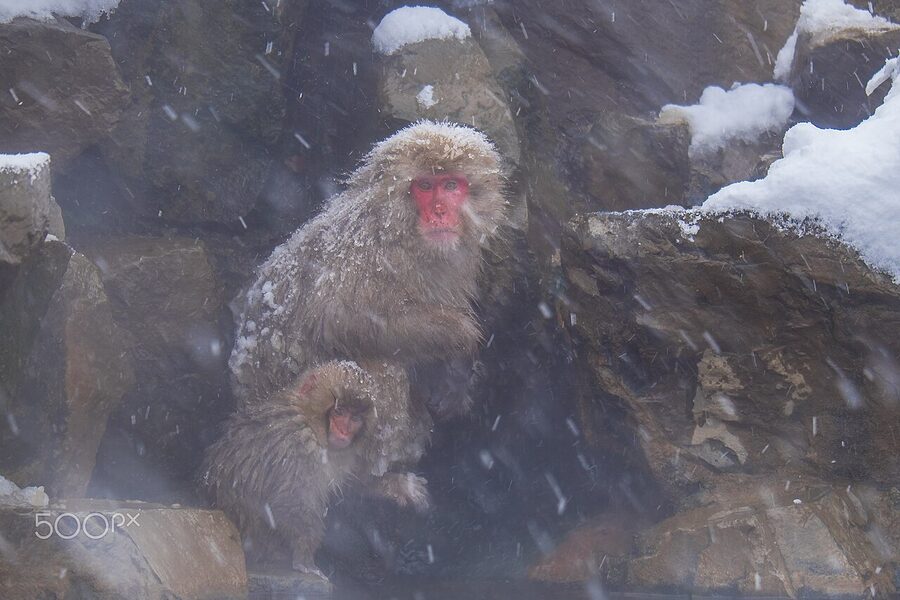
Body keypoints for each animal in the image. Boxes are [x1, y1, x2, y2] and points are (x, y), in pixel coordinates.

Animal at [228, 121, 508, 473]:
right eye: (425, 186)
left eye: (451, 185)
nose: (440, 211)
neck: (403, 234)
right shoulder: (366, 254)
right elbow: (341, 317)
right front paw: (461, 338)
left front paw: (454, 377)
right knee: (378, 361)